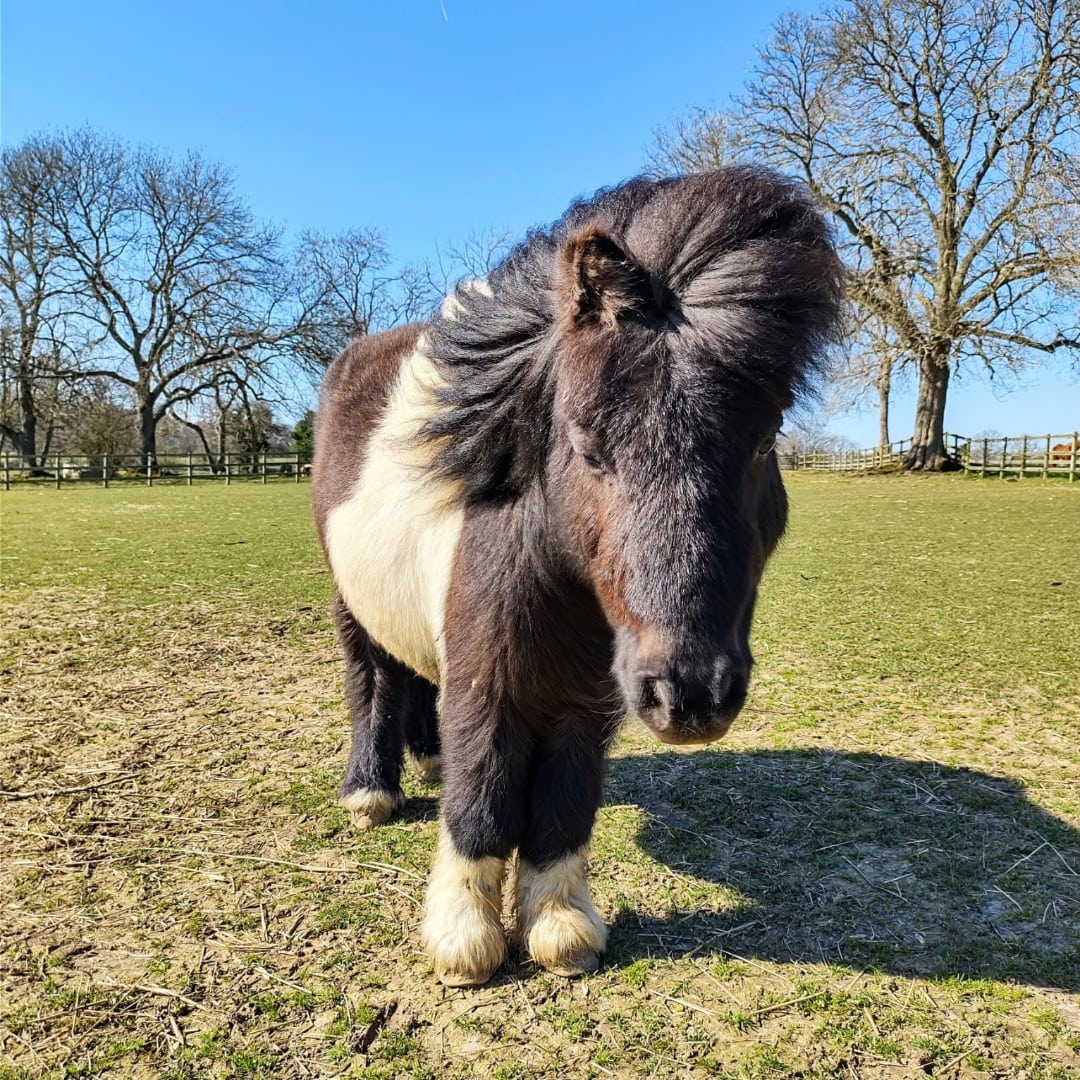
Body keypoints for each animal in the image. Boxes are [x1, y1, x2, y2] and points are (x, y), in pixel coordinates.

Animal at [313, 168, 842, 989]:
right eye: (588, 446)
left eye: (764, 440)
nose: (692, 693)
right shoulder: (490, 692)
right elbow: (485, 798)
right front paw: (463, 941)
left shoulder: (586, 704)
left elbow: (563, 807)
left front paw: (561, 929)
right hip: (351, 607)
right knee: (372, 682)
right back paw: (372, 791)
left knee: (414, 678)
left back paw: (426, 759)